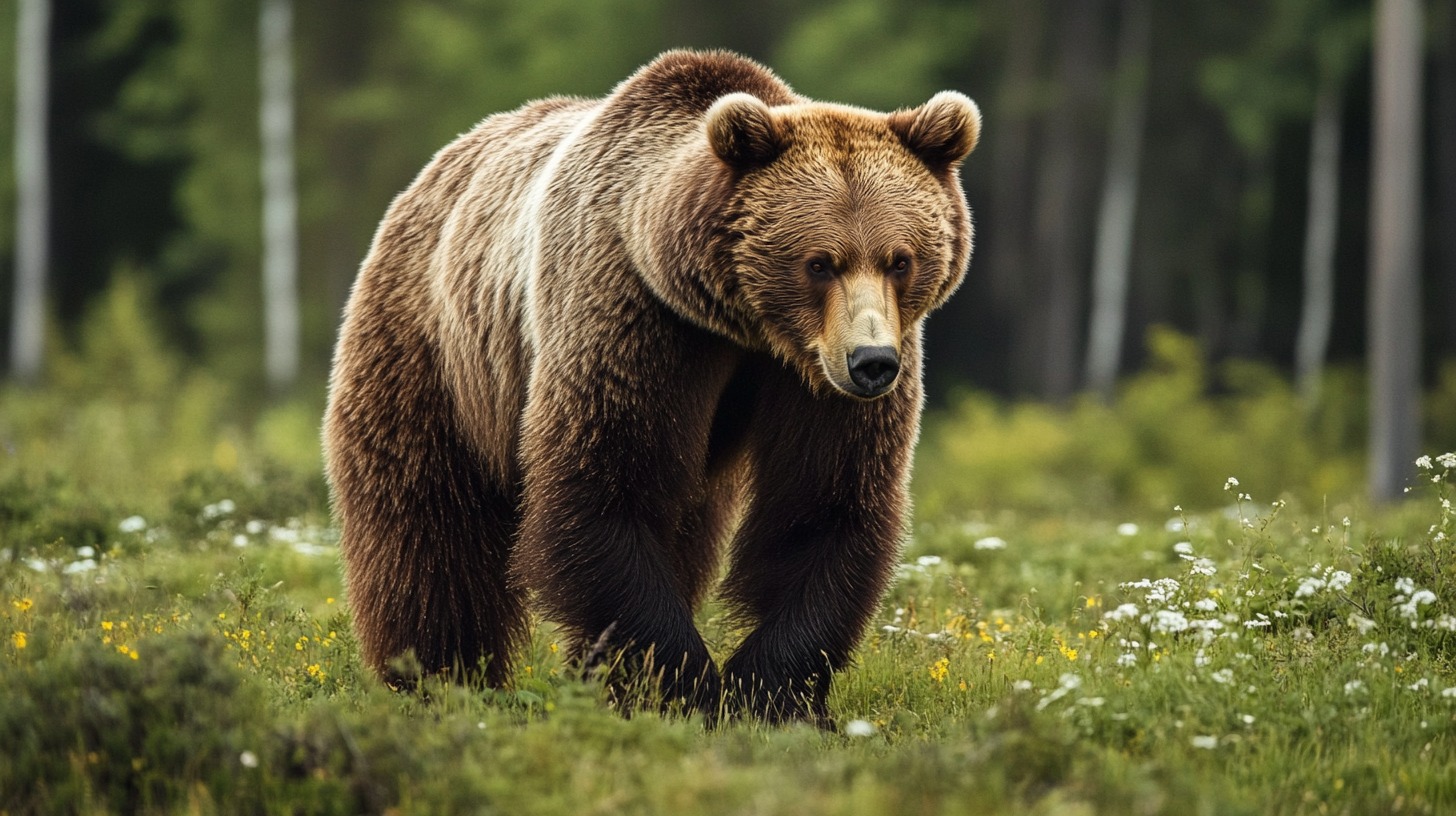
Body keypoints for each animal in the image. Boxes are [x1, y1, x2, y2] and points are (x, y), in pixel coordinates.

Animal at [324, 49, 972, 725]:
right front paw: (686, 687)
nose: (871, 362)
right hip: (435, 350)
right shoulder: (633, 321)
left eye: (899, 260)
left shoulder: (814, 379)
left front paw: (770, 692)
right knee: (427, 525)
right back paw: (439, 677)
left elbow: (823, 503)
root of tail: (434, 170)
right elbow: (605, 487)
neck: (738, 322)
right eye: (819, 262)